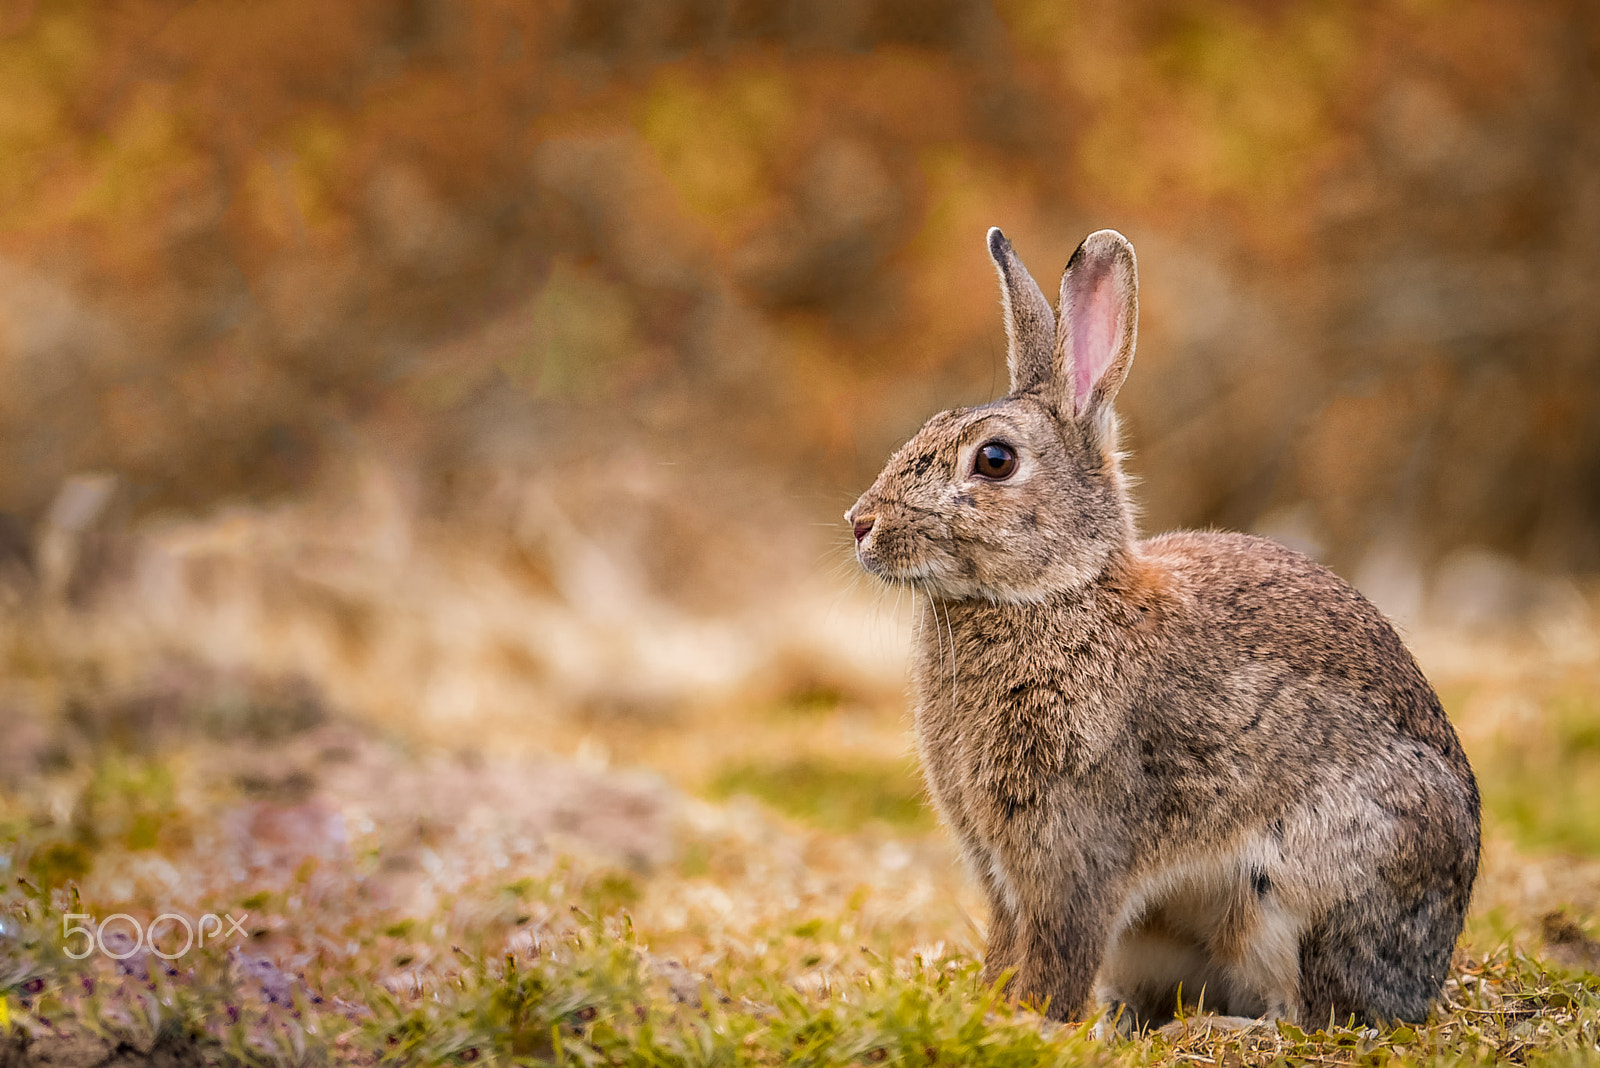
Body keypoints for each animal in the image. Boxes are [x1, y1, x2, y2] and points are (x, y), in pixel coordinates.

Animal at [845, 227, 1480, 1029]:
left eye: (994, 459)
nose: (860, 524)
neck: (1057, 593)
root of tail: (1429, 971)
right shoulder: (999, 865)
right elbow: (1007, 940)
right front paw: (992, 1006)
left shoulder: (1071, 844)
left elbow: (1057, 944)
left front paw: (1031, 1020)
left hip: (1301, 895)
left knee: (1309, 1012)